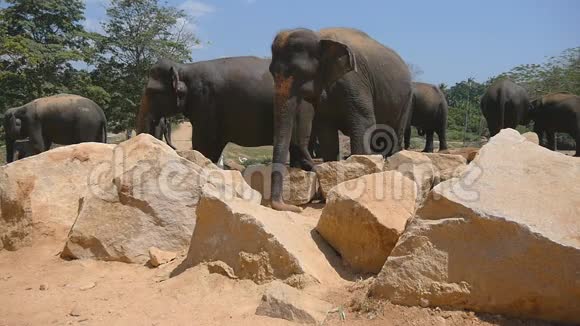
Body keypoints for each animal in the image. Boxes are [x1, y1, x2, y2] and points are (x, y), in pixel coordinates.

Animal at [270, 27, 414, 211]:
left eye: (298, 72)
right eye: (271, 72)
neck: (320, 37)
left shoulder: (354, 81)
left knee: (394, 134)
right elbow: (327, 134)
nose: (295, 208)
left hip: (406, 100)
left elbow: (363, 122)